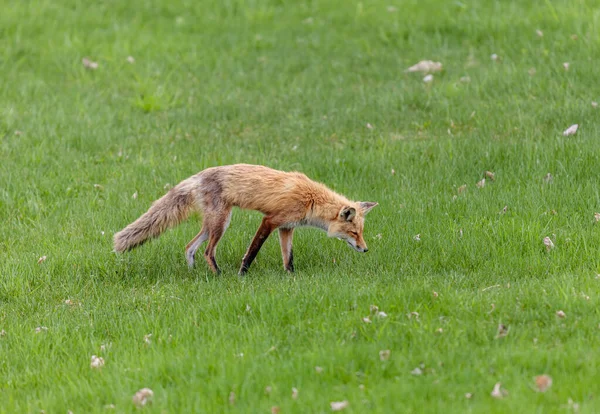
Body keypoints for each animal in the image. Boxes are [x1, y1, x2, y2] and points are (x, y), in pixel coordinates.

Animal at [114, 164, 378, 274]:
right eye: (354, 233)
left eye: (361, 233)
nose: (366, 249)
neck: (311, 199)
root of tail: (197, 176)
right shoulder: (270, 221)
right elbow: (252, 251)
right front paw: (242, 274)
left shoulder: (286, 228)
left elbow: (288, 258)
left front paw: (291, 277)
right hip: (221, 223)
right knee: (207, 251)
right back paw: (219, 276)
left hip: (212, 225)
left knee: (190, 247)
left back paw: (194, 273)